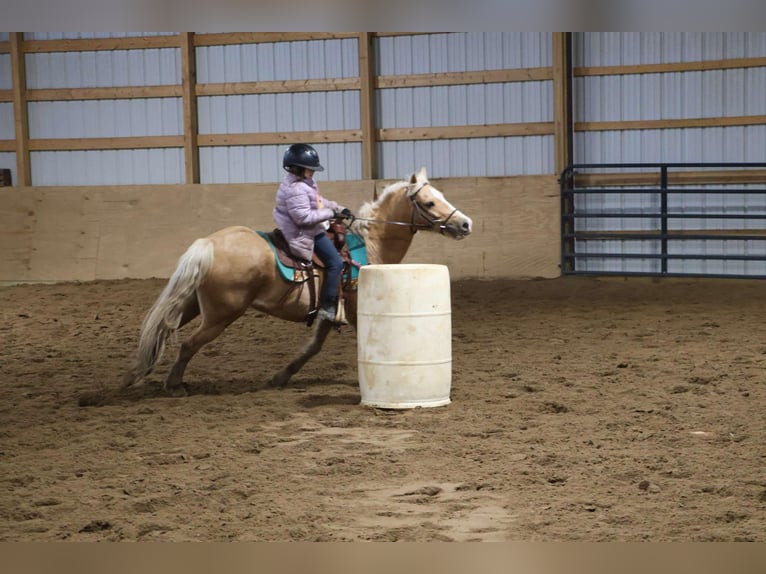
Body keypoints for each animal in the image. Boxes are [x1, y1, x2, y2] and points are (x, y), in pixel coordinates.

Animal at [121, 167, 473, 395]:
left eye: (441, 195)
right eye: (429, 202)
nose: (465, 223)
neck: (371, 243)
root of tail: (208, 243)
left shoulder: (329, 313)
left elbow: (313, 346)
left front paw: (281, 377)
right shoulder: (355, 309)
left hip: (195, 305)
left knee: (163, 328)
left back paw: (135, 375)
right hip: (221, 314)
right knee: (189, 343)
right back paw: (173, 385)